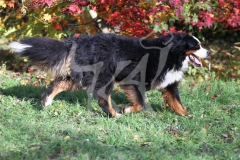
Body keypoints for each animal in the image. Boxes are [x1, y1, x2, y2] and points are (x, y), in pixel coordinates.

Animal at [8, 33, 210, 117]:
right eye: (196, 45)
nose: (209, 52)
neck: (170, 53)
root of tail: (78, 40)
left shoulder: (170, 84)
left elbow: (176, 102)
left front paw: (186, 114)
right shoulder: (134, 80)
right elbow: (140, 103)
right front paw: (127, 109)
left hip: (82, 75)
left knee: (57, 84)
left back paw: (46, 101)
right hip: (104, 76)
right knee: (103, 99)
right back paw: (114, 114)